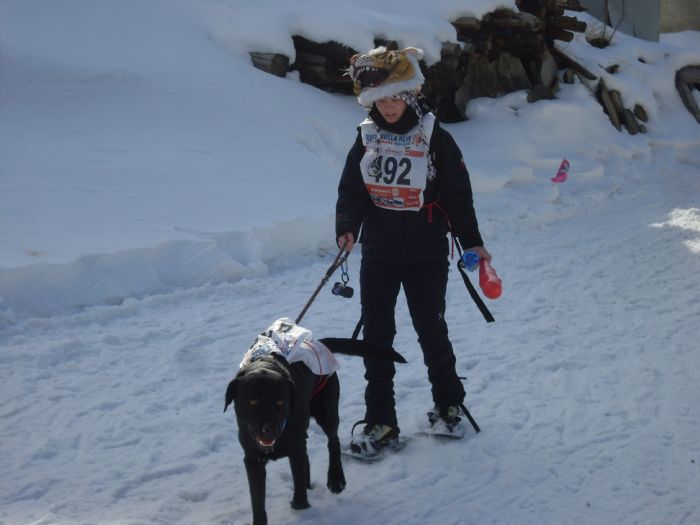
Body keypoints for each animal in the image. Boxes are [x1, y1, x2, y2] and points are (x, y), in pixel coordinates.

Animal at [224, 318, 405, 525]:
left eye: (280, 402)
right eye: (252, 402)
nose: (270, 429)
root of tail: (319, 342)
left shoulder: (295, 449)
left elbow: (298, 478)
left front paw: (300, 507)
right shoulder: (253, 459)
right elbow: (257, 498)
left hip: (327, 411)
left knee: (333, 442)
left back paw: (336, 479)